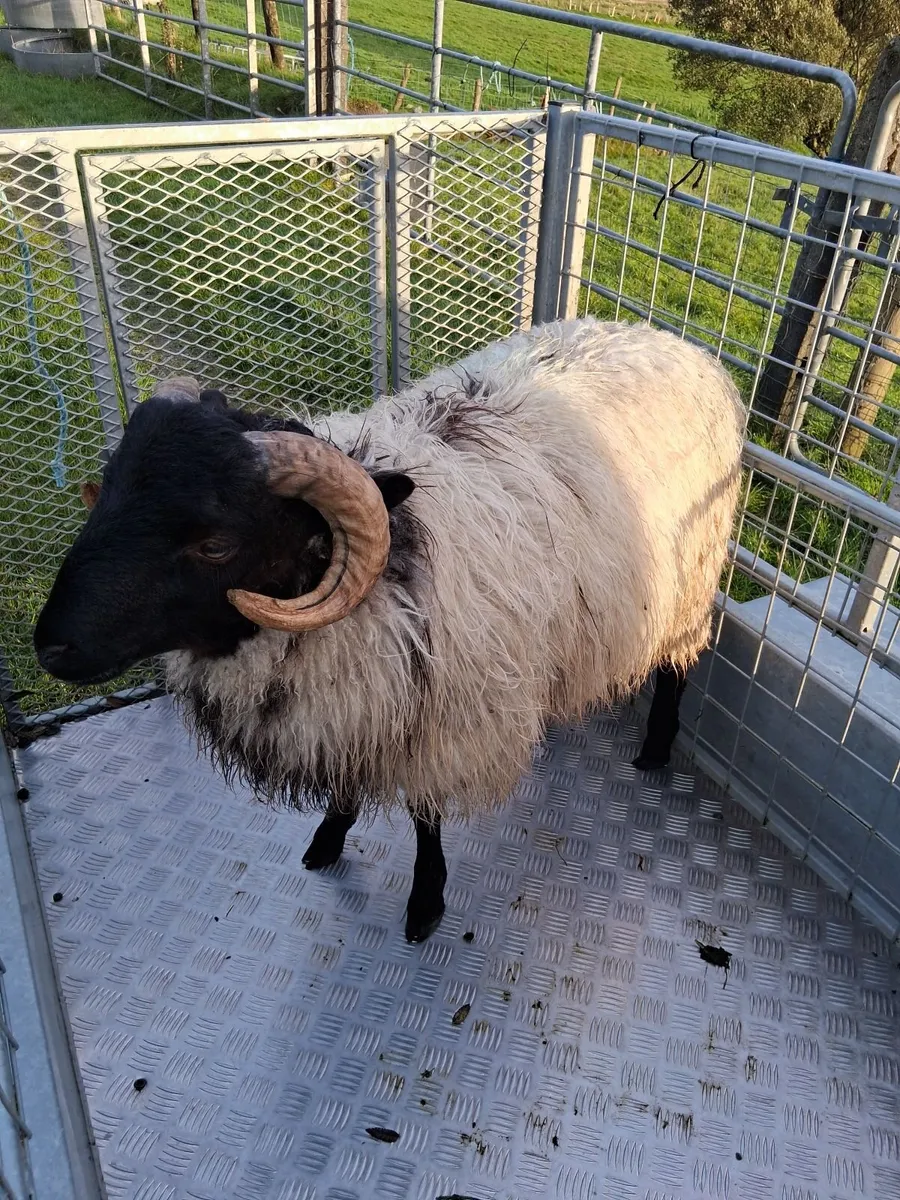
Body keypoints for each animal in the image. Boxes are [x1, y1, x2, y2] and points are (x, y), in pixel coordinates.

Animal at [35, 316, 745, 943]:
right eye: (104, 496)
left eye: (214, 544)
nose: (51, 646)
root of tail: (670, 341)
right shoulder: (356, 708)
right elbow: (348, 785)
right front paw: (328, 837)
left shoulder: (443, 722)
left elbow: (426, 818)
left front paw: (426, 900)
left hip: (688, 579)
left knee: (680, 663)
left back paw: (656, 748)